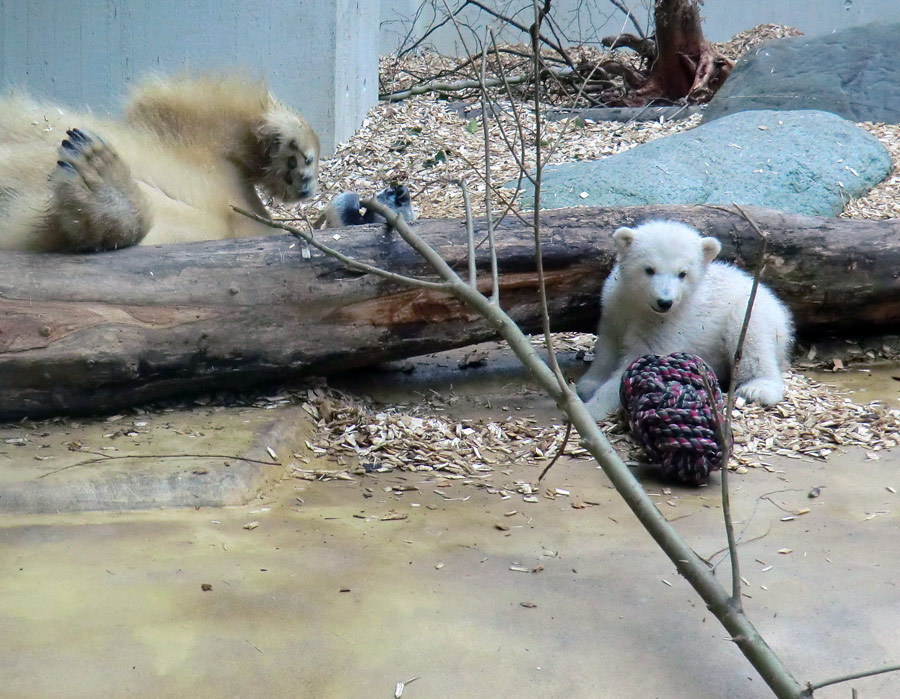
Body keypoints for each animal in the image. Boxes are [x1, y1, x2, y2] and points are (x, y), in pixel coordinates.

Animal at [576, 221, 796, 418]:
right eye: (649, 269)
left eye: (682, 274)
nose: (664, 302)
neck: (640, 306)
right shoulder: (616, 307)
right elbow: (608, 346)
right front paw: (587, 385)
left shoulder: (666, 325)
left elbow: (635, 363)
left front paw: (590, 409)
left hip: (754, 311)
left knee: (751, 339)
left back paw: (758, 388)